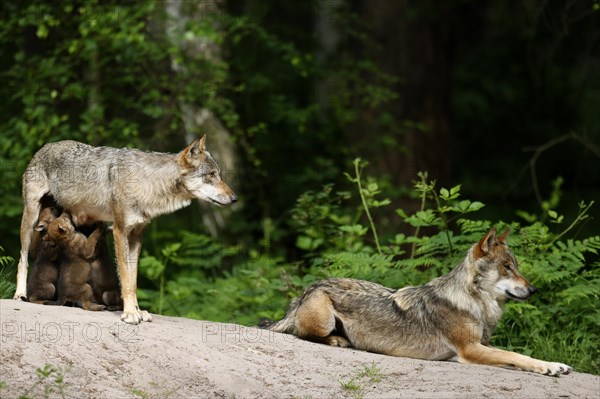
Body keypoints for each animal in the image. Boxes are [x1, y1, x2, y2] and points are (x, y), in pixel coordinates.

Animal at [15, 135, 236, 324]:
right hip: (30, 219)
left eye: (219, 175)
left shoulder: (137, 235)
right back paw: (20, 294)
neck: (146, 182)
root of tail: (46, 146)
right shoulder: (120, 231)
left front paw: (137, 311)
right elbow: (126, 279)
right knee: (22, 259)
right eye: (211, 175)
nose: (234, 199)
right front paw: (130, 313)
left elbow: (133, 279)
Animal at [262, 228, 572, 378]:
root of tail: (307, 289)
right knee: (303, 334)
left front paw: (557, 364)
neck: (474, 303)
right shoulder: (470, 350)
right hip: (323, 319)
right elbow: (518, 356)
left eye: (515, 266)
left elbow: (516, 355)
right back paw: (339, 340)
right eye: (507, 267)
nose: (533, 289)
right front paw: (549, 368)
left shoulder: (481, 344)